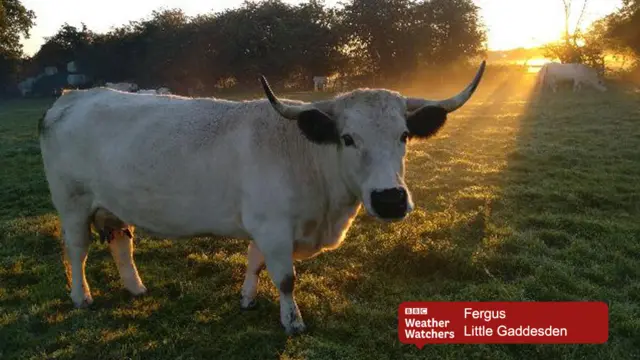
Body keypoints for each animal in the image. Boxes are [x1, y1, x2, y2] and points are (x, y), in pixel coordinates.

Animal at [38, 60, 484, 334]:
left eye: (404, 135)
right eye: (347, 138)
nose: (390, 199)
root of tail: (72, 96)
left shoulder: (266, 226)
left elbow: (254, 263)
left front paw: (247, 299)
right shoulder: (273, 226)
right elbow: (285, 278)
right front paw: (293, 322)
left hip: (112, 205)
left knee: (120, 243)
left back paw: (136, 288)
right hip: (72, 203)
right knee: (76, 250)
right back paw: (82, 297)